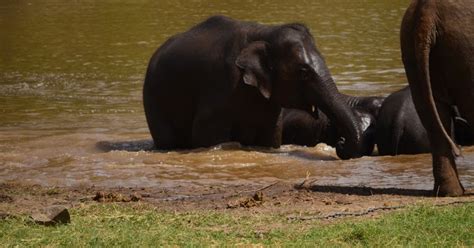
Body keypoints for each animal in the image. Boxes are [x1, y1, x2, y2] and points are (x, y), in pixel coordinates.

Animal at [144, 15, 366, 159]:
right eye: (304, 72)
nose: (340, 143)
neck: (265, 32)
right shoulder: (219, 86)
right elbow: (205, 135)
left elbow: (271, 135)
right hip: (155, 102)